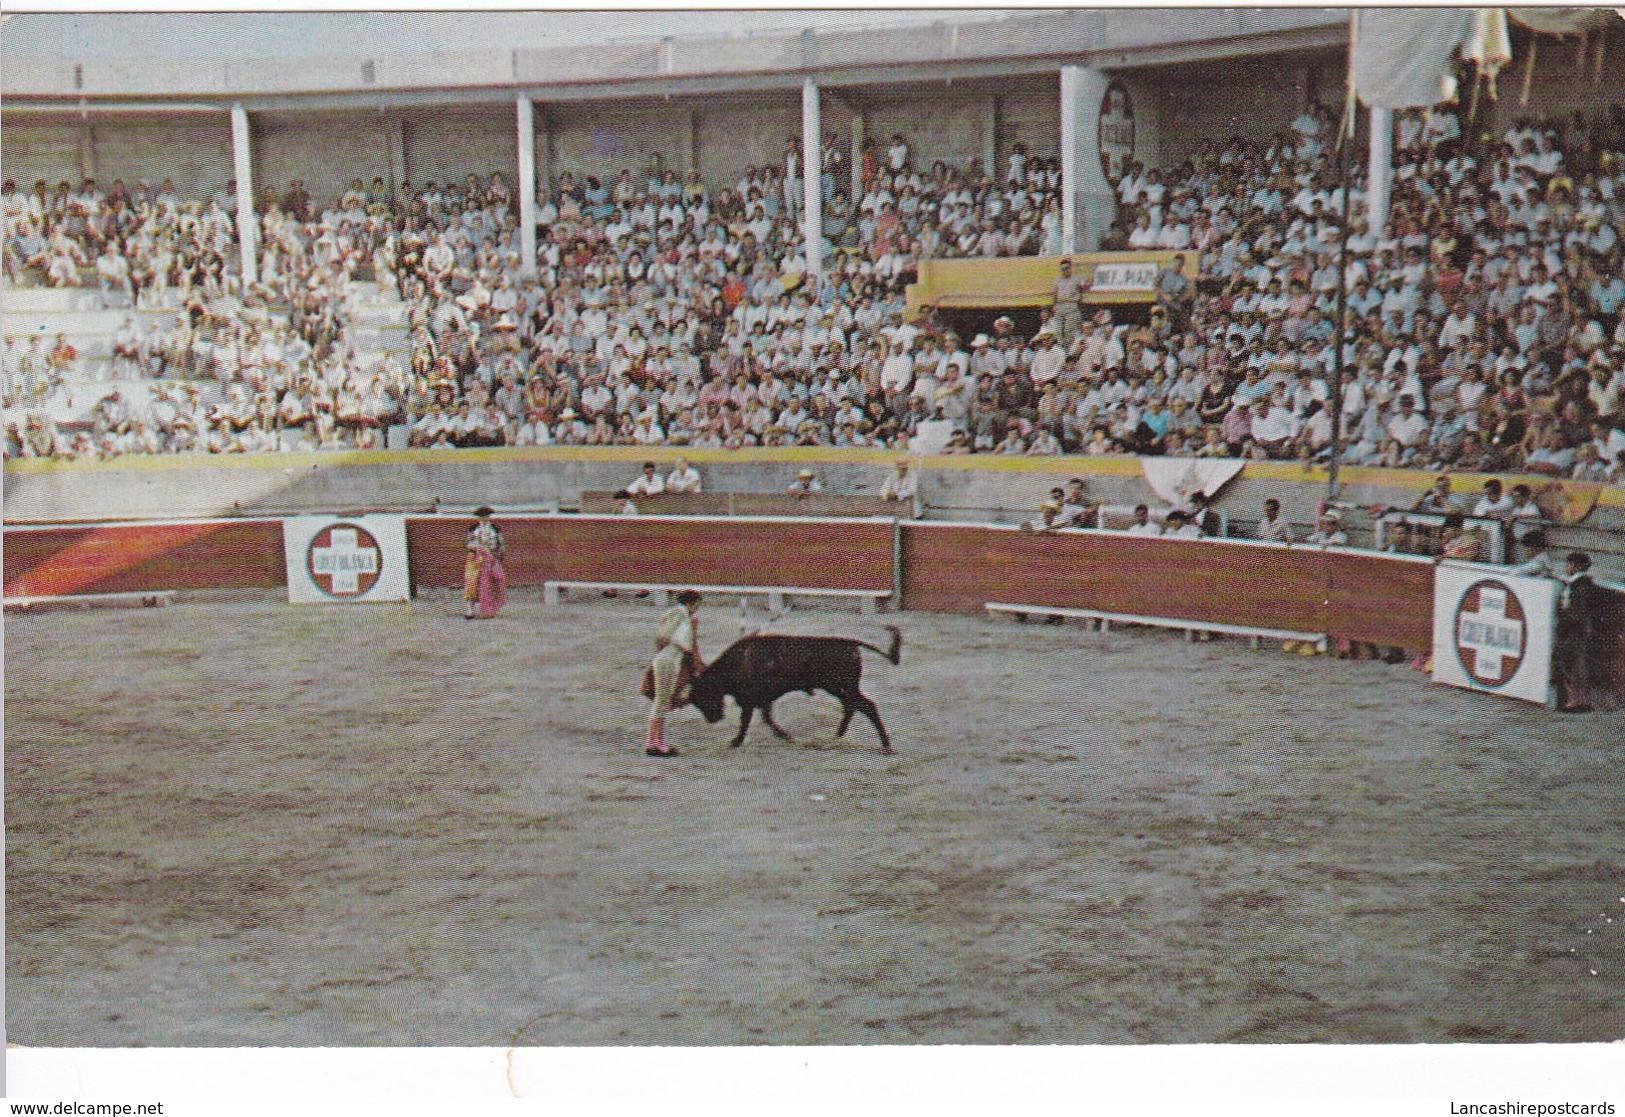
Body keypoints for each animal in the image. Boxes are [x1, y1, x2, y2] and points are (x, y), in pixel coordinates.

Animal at [682, 630, 903, 751]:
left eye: (701, 695)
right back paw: (838, 735)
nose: (713, 719)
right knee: (852, 707)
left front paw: (736, 742)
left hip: (842, 687)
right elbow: (767, 718)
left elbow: (746, 721)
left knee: (866, 706)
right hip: (841, 689)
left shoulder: (750, 700)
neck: (736, 662)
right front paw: (785, 735)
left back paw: (885, 744)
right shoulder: (762, 700)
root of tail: (850, 643)